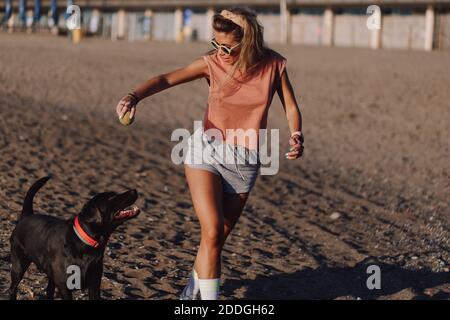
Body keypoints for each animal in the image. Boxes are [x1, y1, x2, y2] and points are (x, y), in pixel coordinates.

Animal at [9, 178, 141, 300]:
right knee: (13, 288)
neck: (86, 242)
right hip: (18, 266)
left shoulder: (94, 286)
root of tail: (27, 215)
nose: (134, 190)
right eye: (111, 198)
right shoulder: (65, 287)